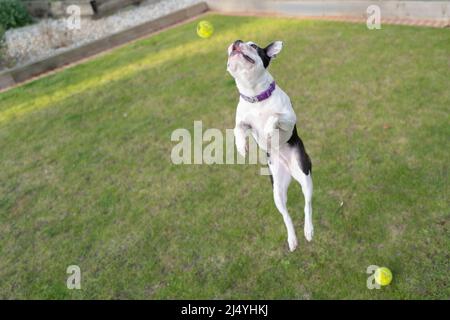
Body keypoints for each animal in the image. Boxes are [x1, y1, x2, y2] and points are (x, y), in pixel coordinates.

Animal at [229, 38, 312, 251]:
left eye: (254, 46)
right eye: (229, 49)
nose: (236, 42)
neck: (256, 95)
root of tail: (290, 170)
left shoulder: (289, 119)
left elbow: (274, 117)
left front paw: (267, 130)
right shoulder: (243, 121)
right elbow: (237, 128)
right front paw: (241, 146)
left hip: (305, 175)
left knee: (307, 204)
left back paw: (309, 230)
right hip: (277, 191)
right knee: (286, 216)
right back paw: (292, 239)